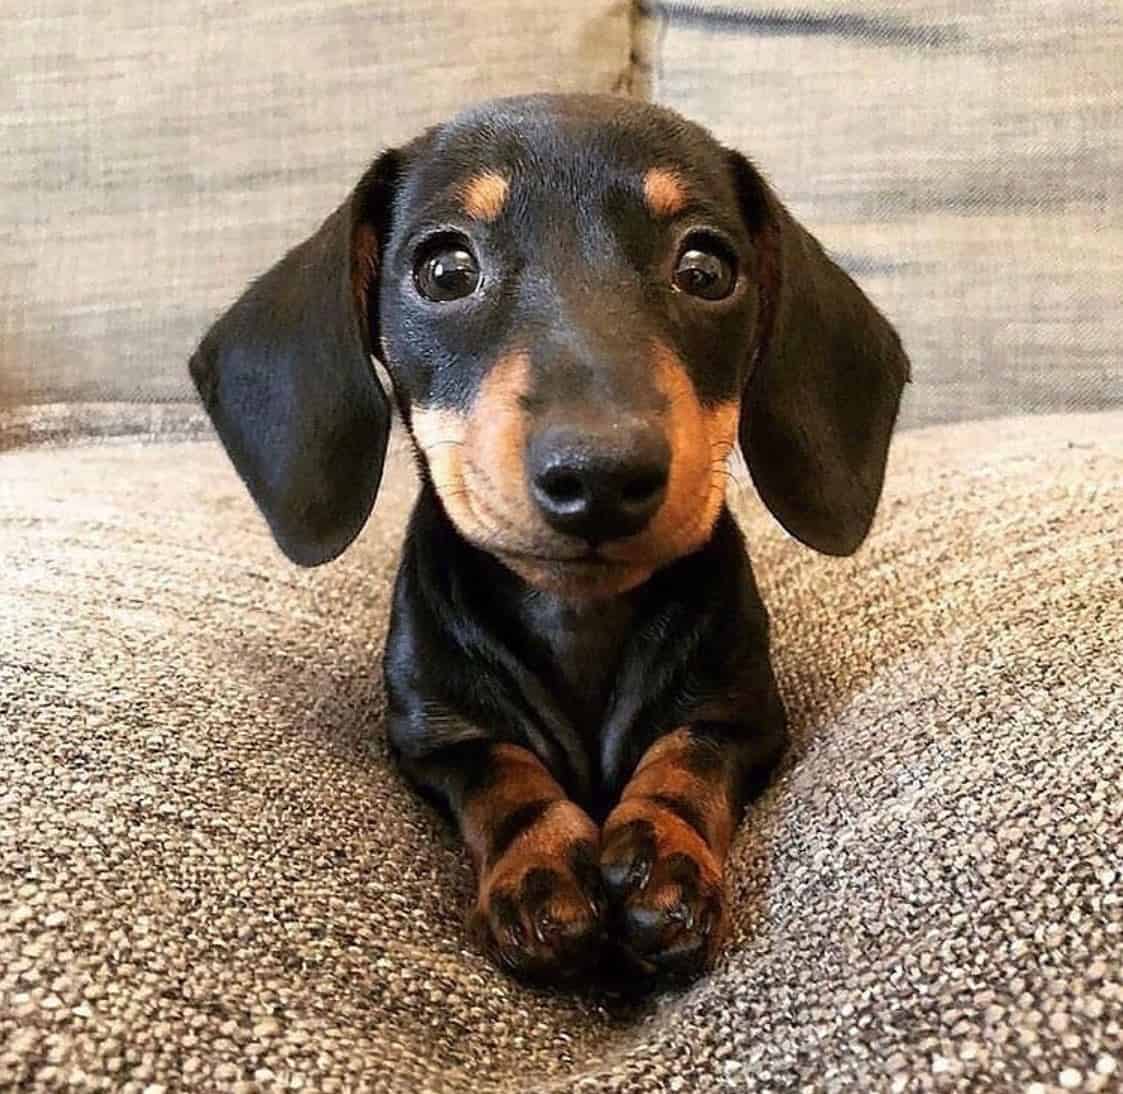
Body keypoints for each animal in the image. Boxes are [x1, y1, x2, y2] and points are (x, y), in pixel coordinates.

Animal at [190, 92, 911, 983]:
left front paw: (662, 855)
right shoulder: (432, 733)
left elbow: (686, 758)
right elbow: (505, 773)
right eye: (444, 270)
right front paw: (540, 868)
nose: (599, 475)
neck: (578, 618)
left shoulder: (743, 715)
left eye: (705, 269)